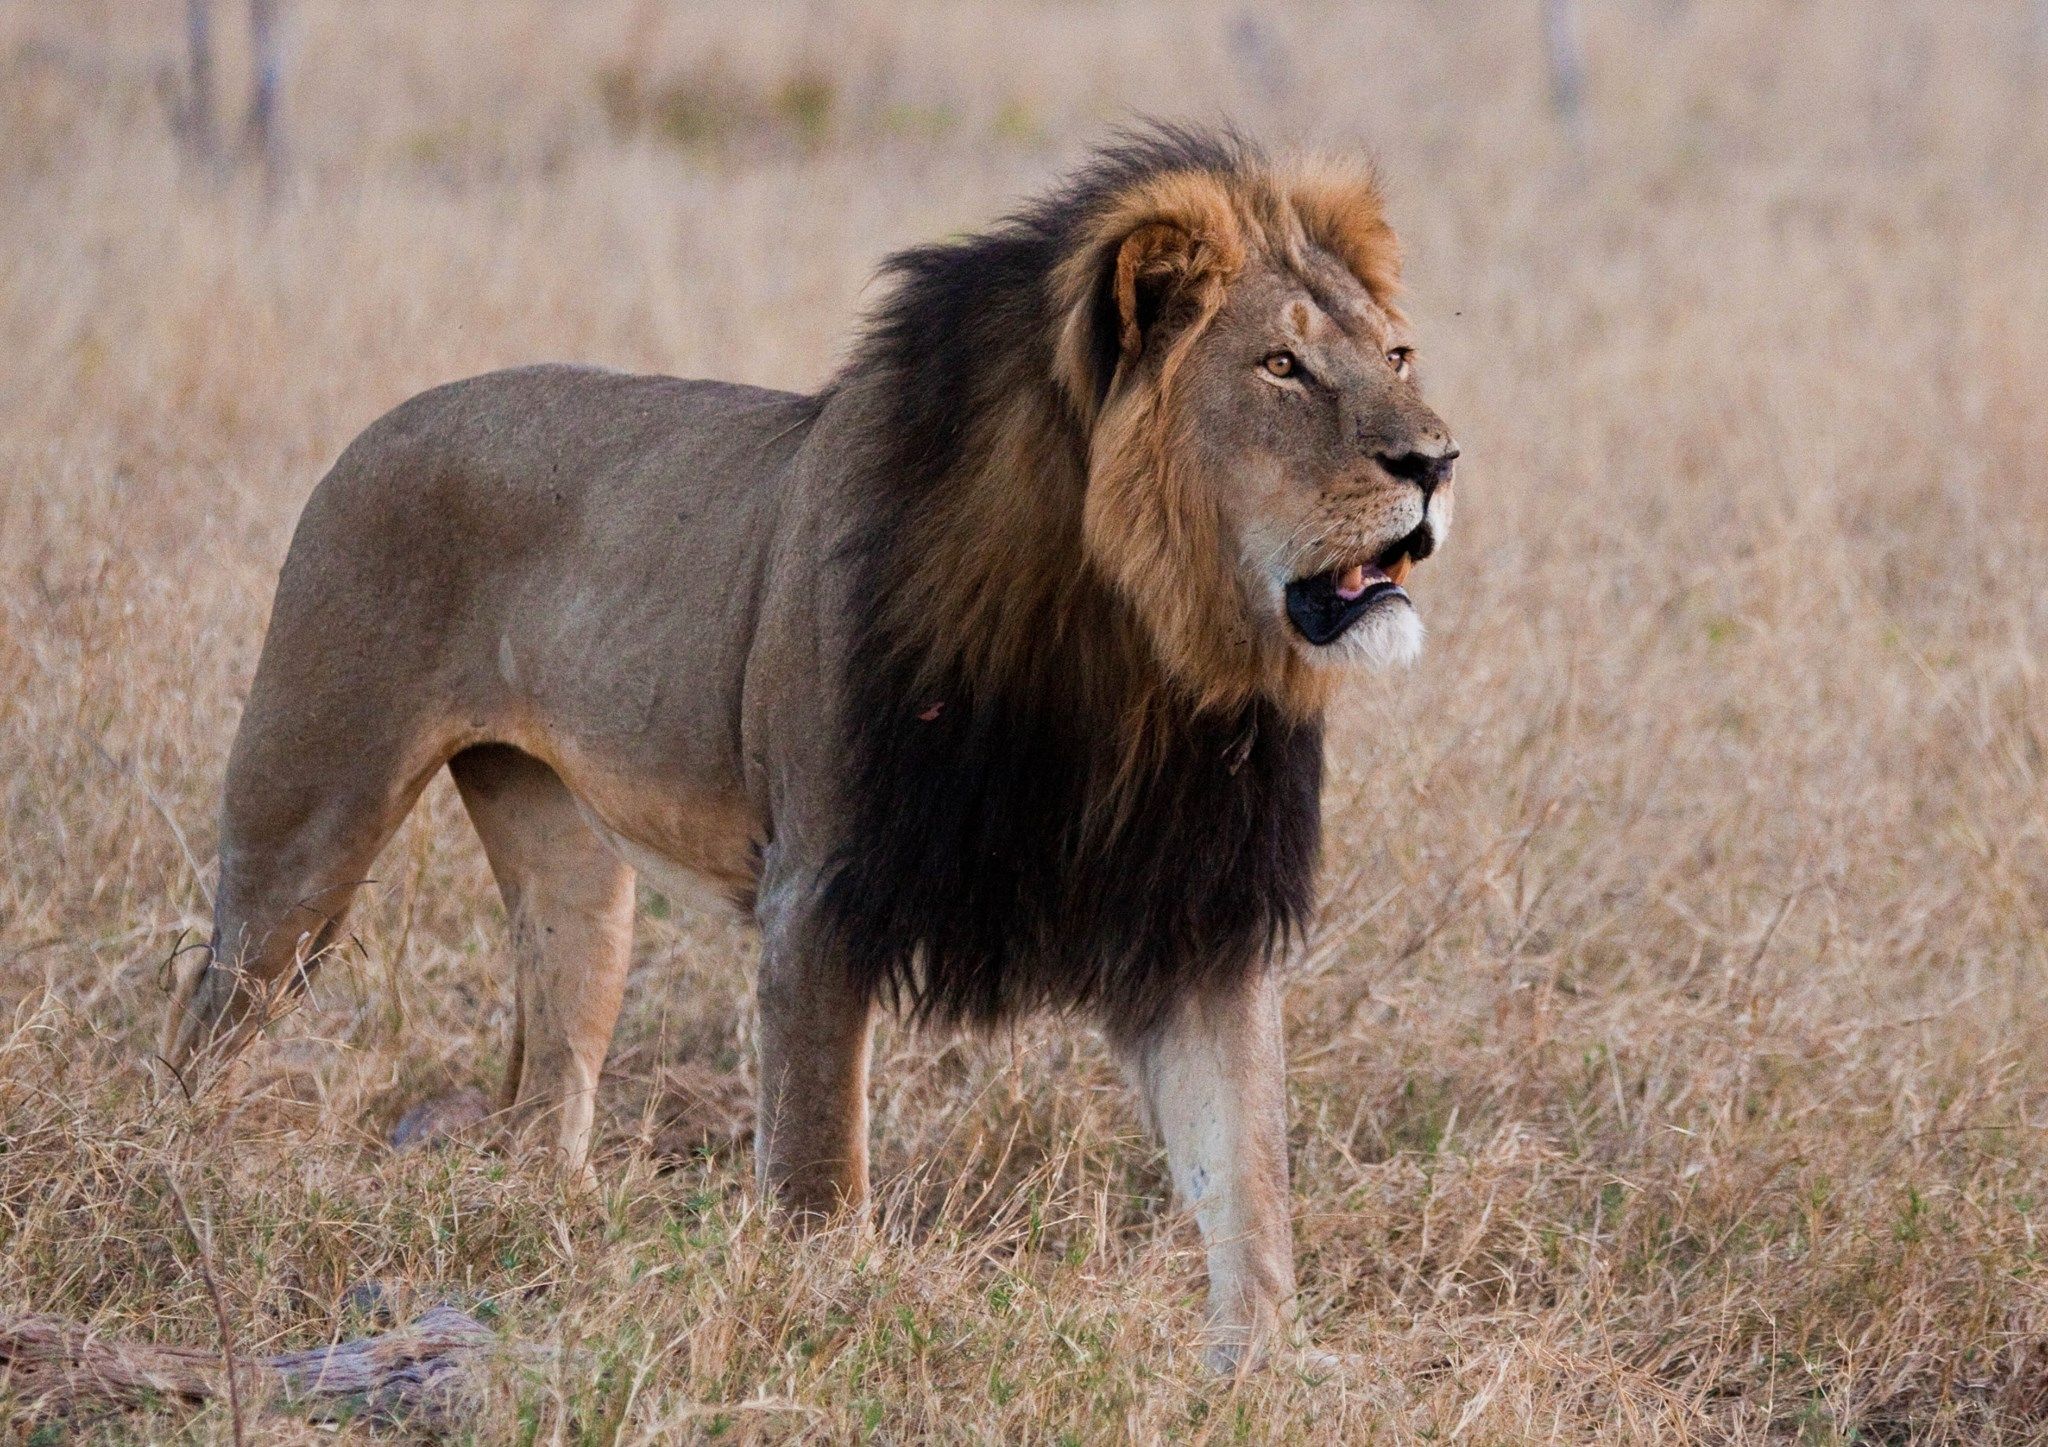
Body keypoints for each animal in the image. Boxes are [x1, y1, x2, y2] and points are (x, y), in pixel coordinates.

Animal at [167, 127, 1466, 1367]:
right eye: (1280, 367)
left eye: (1397, 356)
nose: (1435, 461)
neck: (1133, 643)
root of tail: (380, 424)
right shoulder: (820, 893)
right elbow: (817, 1163)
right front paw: (831, 1321)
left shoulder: (1196, 914)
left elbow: (1246, 1167)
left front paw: (1266, 1363)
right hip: (306, 825)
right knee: (203, 1026)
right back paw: (181, 1175)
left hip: (571, 877)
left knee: (546, 1090)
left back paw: (549, 1234)